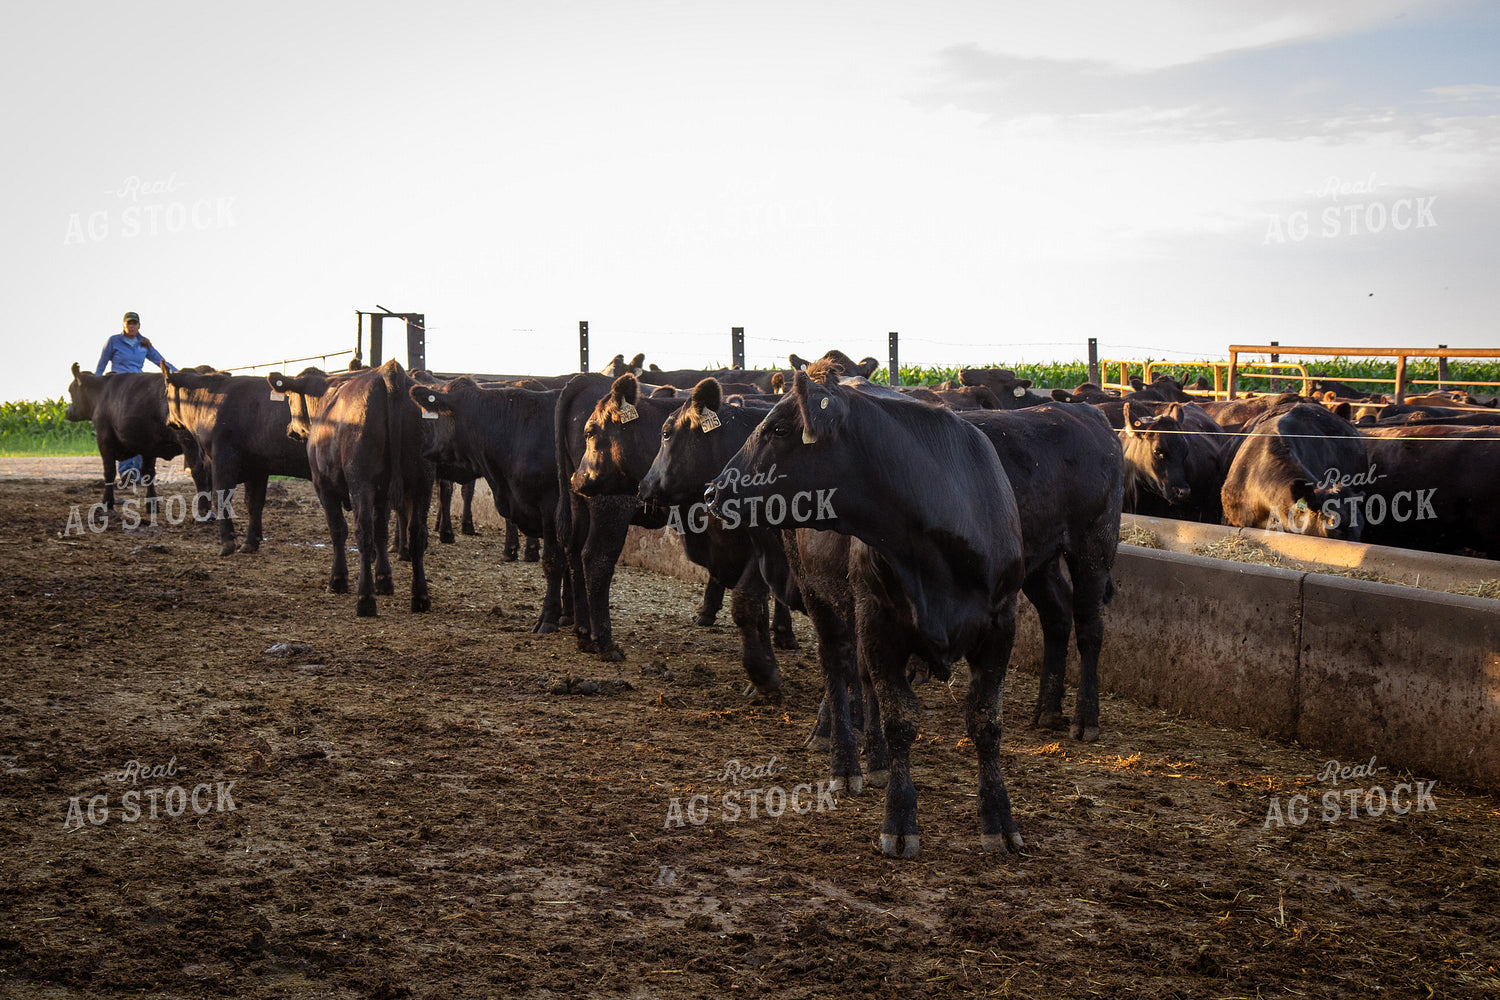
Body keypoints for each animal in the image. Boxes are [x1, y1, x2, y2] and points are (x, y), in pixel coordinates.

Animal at [164, 368, 313, 555]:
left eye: (165, 391)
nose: (167, 420)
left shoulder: (222, 460)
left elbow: (221, 497)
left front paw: (227, 544)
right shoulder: (257, 467)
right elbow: (253, 503)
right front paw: (250, 543)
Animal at [267, 361, 434, 616]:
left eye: (289, 399)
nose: (289, 429)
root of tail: (390, 372)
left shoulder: (323, 485)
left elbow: (338, 530)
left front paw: (338, 580)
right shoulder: (383, 495)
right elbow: (381, 532)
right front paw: (384, 580)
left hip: (361, 483)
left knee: (362, 532)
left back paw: (365, 600)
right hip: (423, 483)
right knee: (417, 534)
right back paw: (421, 597)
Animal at [705, 370, 1028, 858]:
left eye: (778, 429)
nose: (713, 491)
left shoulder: (999, 628)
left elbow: (985, 722)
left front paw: (998, 818)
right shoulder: (879, 623)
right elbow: (900, 721)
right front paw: (900, 818)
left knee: (861, 678)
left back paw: (874, 760)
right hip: (822, 598)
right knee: (837, 670)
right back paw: (846, 761)